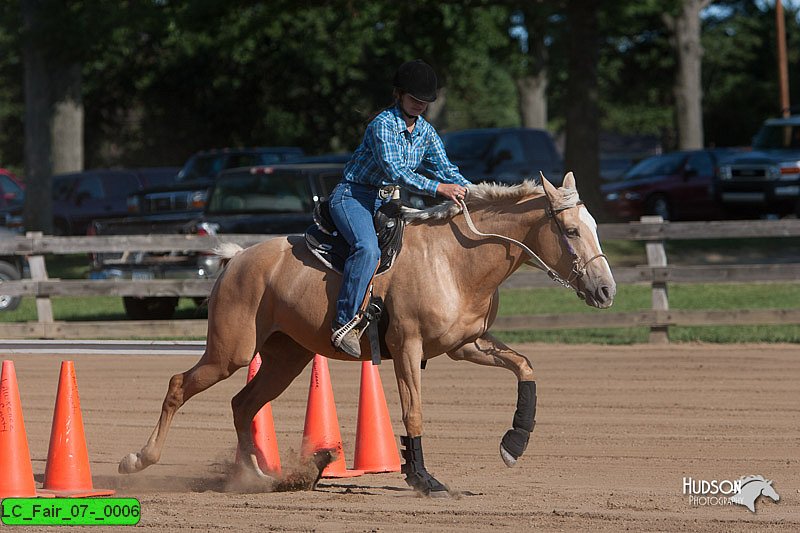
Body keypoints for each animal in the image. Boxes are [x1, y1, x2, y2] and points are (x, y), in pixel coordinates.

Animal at [122, 172, 616, 496]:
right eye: (571, 230)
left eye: (593, 226)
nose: (606, 290)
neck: (455, 260)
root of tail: (236, 259)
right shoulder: (407, 348)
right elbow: (413, 413)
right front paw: (423, 479)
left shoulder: (465, 346)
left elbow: (524, 366)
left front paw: (513, 443)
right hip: (230, 353)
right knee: (179, 386)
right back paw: (138, 460)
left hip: (286, 358)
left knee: (243, 405)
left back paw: (259, 477)